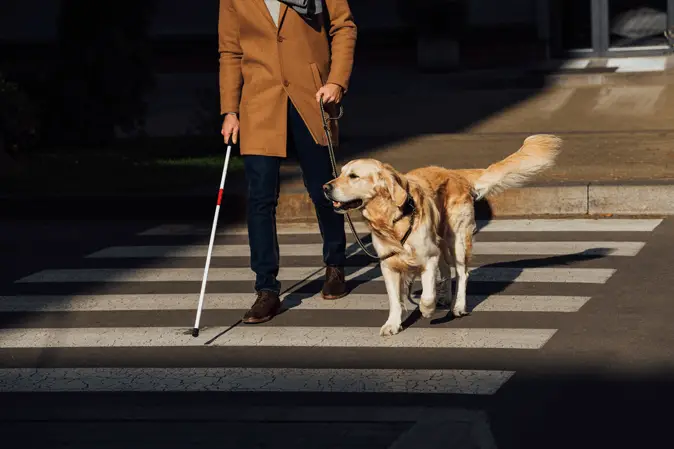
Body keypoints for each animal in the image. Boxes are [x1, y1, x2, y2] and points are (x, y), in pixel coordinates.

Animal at [322, 135, 560, 334]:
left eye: (353, 176)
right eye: (340, 173)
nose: (325, 187)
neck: (392, 219)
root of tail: (455, 173)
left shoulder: (428, 257)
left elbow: (427, 295)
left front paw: (427, 309)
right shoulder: (388, 265)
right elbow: (394, 299)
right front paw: (392, 323)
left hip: (457, 240)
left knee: (462, 273)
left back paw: (458, 305)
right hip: (443, 241)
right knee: (446, 270)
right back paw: (445, 297)